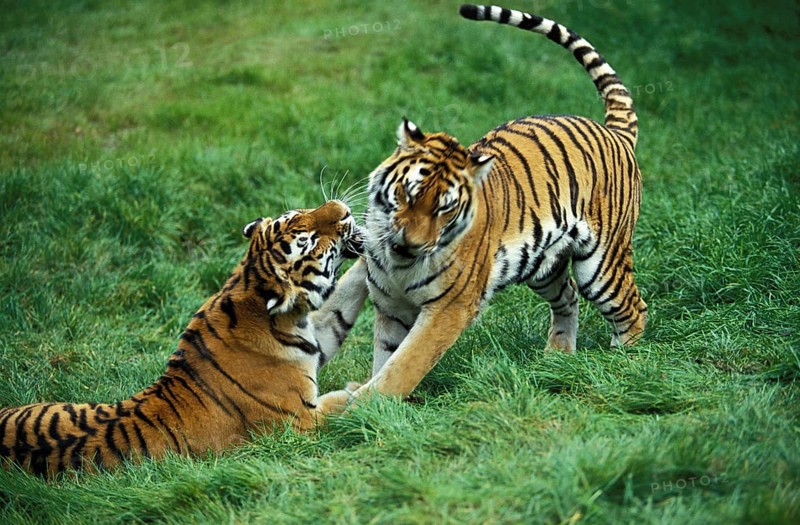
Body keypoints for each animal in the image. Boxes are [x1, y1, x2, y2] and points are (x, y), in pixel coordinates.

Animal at [0, 200, 368, 476]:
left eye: (296, 213)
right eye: (307, 240)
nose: (343, 209)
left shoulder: (314, 339)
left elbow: (342, 303)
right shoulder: (300, 424)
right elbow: (340, 407)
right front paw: (355, 392)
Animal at [352, 4, 648, 400]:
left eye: (444, 208)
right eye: (408, 194)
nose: (410, 244)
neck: (399, 262)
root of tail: (613, 131)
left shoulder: (448, 308)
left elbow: (403, 366)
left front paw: (360, 405)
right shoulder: (390, 305)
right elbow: (385, 358)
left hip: (602, 264)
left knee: (633, 308)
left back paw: (622, 366)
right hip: (542, 266)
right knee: (568, 296)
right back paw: (556, 358)